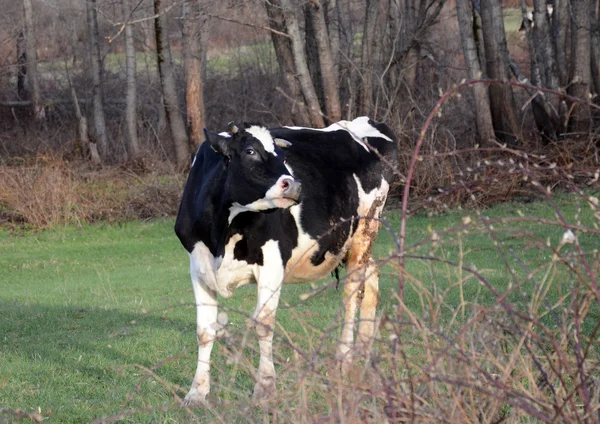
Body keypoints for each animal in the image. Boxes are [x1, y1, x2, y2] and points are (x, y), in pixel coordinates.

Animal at [175, 117, 398, 408]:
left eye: (282, 157)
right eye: (250, 151)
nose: (295, 185)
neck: (222, 233)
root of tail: (364, 122)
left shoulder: (272, 263)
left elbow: (263, 324)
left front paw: (265, 388)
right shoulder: (198, 266)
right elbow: (204, 331)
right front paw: (197, 392)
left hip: (364, 233)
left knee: (352, 294)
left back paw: (344, 358)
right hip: (354, 247)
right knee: (371, 279)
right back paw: (363, 350)